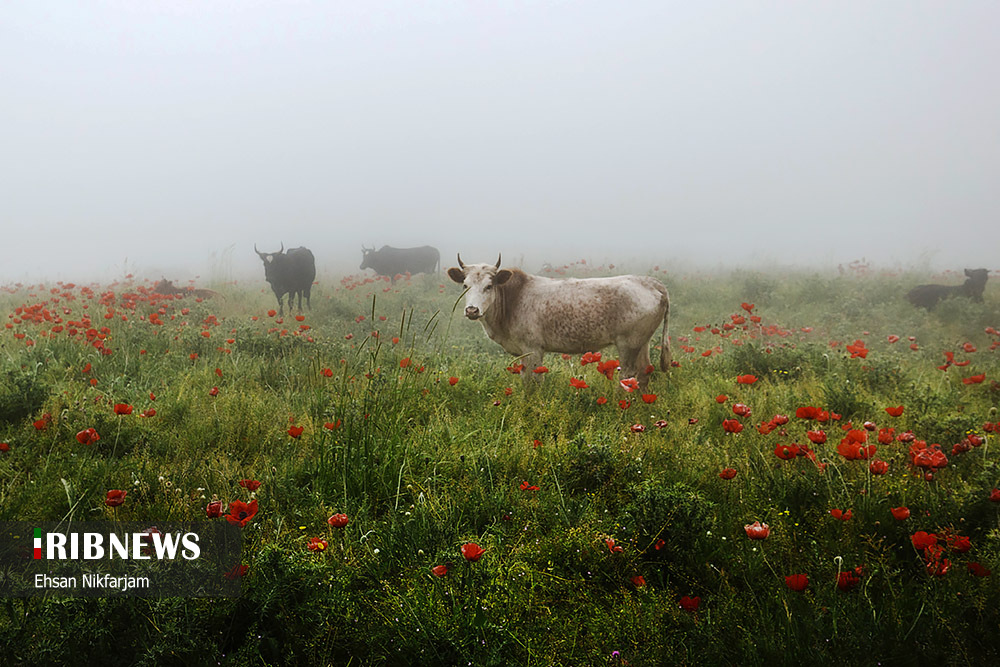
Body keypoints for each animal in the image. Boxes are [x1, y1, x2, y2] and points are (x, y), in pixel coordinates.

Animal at [448, 256, 672, 392]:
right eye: (465, 285)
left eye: (489, 286)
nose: (472, 310)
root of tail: (651, 282)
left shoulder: (533, 348)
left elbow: (534, 380)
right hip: (642, 342)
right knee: (644, 372)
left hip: (628, 343)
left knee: (628, 375)